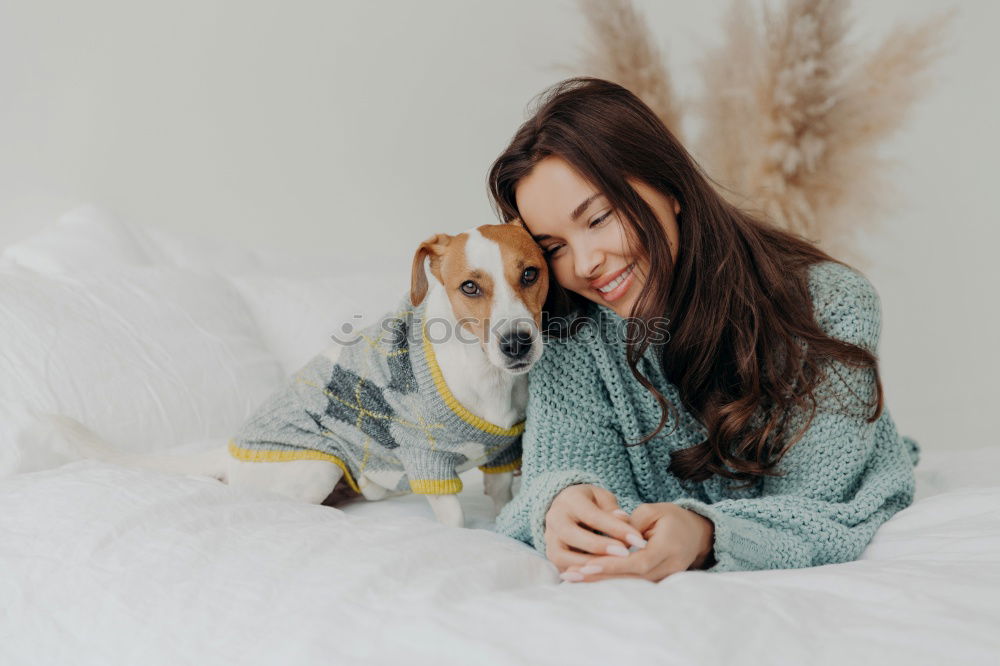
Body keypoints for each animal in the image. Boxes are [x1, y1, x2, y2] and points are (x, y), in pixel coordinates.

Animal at [90, 226, 552, 528]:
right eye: (470, 287)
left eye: (530, 273)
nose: (516, 343)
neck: (487, 377)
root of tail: (228, 451)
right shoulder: (427, 460)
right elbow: (454, 520)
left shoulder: (500, 456)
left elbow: (500, 502)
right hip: (318, 467)